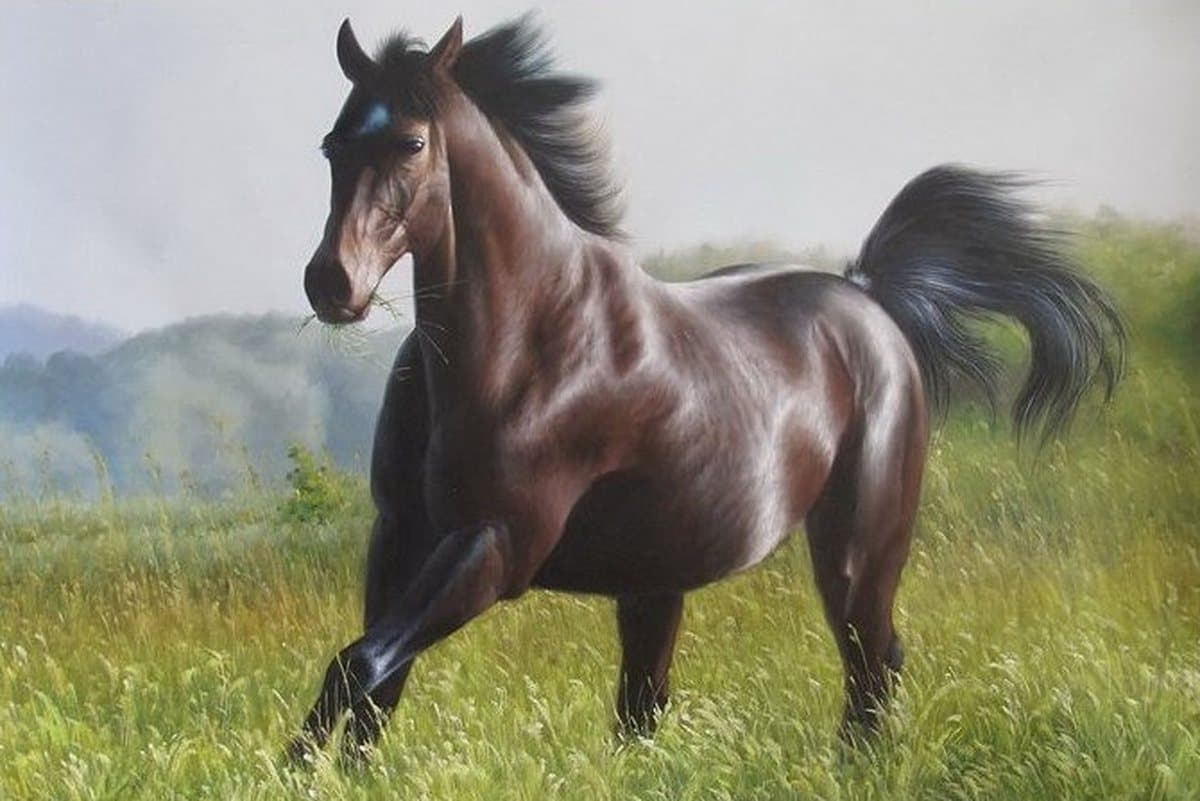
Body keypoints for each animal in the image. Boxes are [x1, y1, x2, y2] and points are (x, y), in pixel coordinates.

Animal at [291, 15, 1125, 764]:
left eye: (411, 142)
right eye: (332, 145)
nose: (332, 283)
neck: (524, 341)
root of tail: (866, 297)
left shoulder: (496, 542)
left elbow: (358, 663)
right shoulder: (401, 535)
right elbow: (376, 683)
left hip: (857, 551)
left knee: (871, 661)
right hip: (654, 584)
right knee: (649, 706)